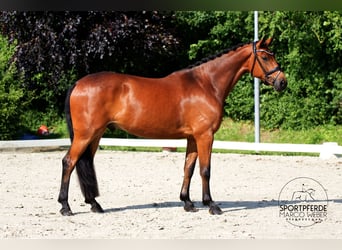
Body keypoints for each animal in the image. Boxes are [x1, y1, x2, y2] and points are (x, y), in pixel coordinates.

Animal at [58, 37, 286, 215]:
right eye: (266, 57)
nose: (282, 82)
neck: (206, 84)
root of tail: (78, 83)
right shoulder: (205, 136)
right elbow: (205, 170)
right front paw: (211, 204)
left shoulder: (193, 137)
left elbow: (188, 168)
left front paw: (187, 202)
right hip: (85, 135)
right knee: (69, 162)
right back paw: (65, 207)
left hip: (95, 135)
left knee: (84, 162)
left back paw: (94, 204)